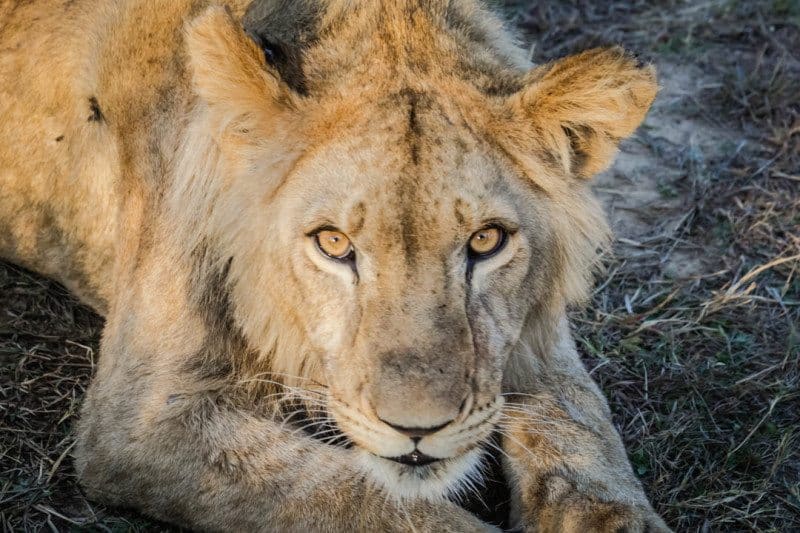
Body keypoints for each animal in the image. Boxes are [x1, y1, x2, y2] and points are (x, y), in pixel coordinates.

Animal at [0, 0, 669, 530]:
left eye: (486, 241)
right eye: (333, 243)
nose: (419, 431)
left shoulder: (533, 338)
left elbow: (582, 430)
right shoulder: (140, 421)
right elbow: (359, 498)